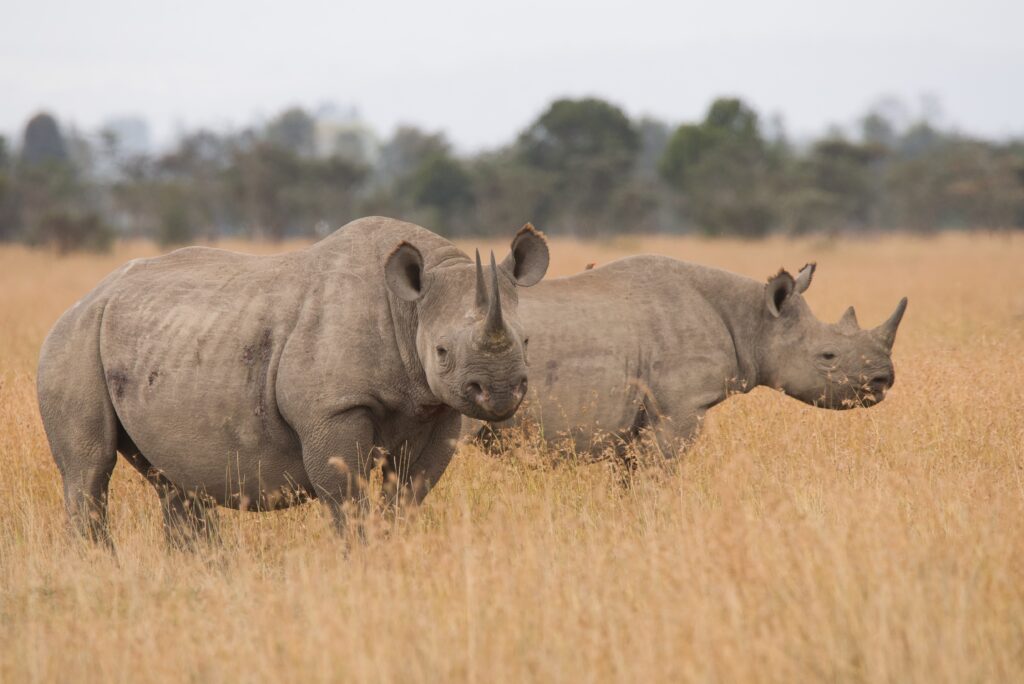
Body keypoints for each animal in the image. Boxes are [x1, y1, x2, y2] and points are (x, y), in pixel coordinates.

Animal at [37, 216, 549, 546]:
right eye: (442, 352)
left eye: (527, 341)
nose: (500, 391)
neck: (409, 312)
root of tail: (86, 299)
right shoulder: (332, 409)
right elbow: (347, 496)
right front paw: (361, 560)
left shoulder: (437, 408)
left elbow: (408, 492)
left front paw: (393, 552)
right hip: (71, 341)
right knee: (89, 469)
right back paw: (98, 565)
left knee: (173, 481)